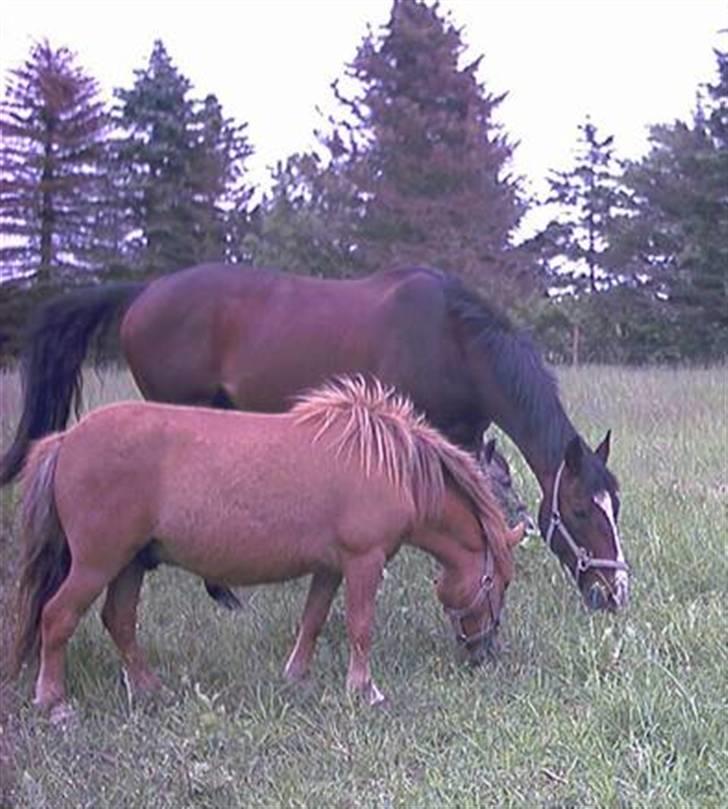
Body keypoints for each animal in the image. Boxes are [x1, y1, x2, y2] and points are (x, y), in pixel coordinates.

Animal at [0, 264, 624, 608]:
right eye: (580, 512)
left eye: (613, 506)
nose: (615, 593)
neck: (452, 340)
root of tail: (144, 291)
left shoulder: (463, 439)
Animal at [11, 376, 524, 716]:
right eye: (497, 583)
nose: (485, 652)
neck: (390, 466)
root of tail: (64, 440)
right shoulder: (364, 561)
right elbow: (360, 626)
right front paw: (365, 690)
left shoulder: (331, 567)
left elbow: (313, 620)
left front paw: (296, 677)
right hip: (97, 564)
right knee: (57, 617)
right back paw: (53, 703)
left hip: (131, 564)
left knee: (119, 621)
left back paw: (149, 689)